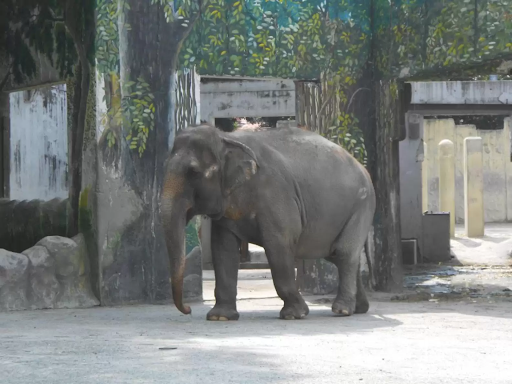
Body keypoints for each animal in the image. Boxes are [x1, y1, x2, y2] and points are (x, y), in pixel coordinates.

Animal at [162, 123, 374, 320]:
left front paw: (294, 314)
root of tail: (363, 168)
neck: (227, 138)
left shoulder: (276, 194)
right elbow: (223, 249)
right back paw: (359, 309)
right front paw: (220, 317)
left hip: (362, 205)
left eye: (193, 172)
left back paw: (342, 310)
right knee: (337, 255)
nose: (188, 309)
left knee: (343, 252)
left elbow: (278, 245)